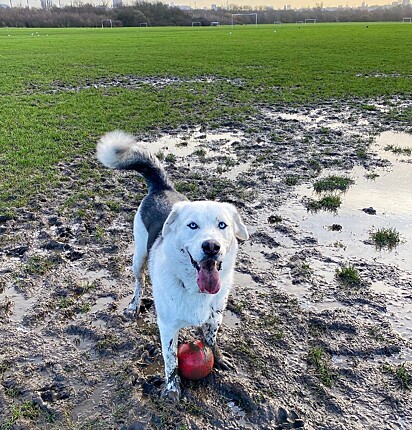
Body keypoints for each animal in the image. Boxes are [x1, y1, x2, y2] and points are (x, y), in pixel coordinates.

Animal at [97, 130, 248, 400]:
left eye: (222, 225)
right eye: (192, 225)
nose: (211, 247)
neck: (193, 288)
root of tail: (162, 187)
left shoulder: (214, 317)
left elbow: (211, 340)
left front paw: (219, 358)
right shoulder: (167, 326)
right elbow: (171, 360)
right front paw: (172, 388)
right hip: (138, 256)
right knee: (139, 282)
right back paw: (133, 306)